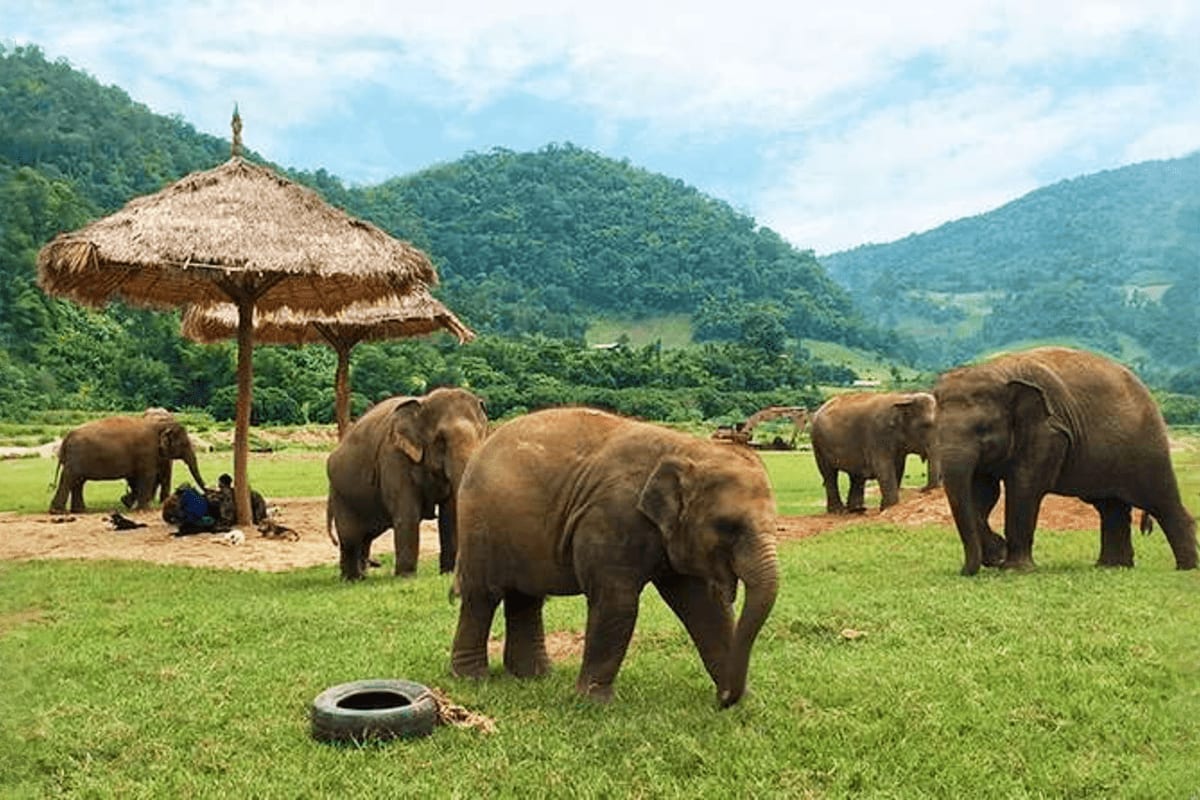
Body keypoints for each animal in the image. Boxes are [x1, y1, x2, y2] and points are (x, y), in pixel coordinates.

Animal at [50, 413, 206, 514]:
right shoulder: (146, 452)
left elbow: (135, 478)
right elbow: (147, 476)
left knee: (78, 482)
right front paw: (143, 509)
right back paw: (58, 512)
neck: (159, 425)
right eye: (184, 444)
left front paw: (128, 503)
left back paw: (79, 511)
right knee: (70, 478)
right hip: (76, 458)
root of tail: (67, 437)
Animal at [325, 387, 488, 581]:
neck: (423, 402)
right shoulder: (394, 456)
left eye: (481, 434)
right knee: (349, 537)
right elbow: (407, 512)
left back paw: (360, 576)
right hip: (340, 493)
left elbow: (450, 513)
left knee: (365, 537)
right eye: (440, 440)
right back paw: (352, 579)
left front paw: (447, 573)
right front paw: (406, 577)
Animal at [449, 407, 779, 708]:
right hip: (479, 523)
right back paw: (472, 678)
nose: (724, 699)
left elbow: (705, 608)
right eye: (727, 526)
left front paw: (744, 701)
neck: (687, 448)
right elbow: (617, 603)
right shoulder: (612, 518)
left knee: (526, 597)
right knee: (483, 596)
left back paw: (534, 676)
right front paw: (596, 703)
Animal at [810, 391, 938, 513]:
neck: (904, 398)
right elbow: (883, 467)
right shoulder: (878, 435)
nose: (923, 489)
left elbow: (898, 468)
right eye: (926, 425)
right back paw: (839, 511)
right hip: (818, 444)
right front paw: (889, 508)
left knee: (856, 476)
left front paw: (885, 508)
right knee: (830, 475)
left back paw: (857, 510)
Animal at [933, 346, 1198, 576]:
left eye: (983, 429)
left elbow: (1024, 488)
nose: (965, 571)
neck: (997, 370)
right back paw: (1112, 567)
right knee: (1111, 507)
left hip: (1147, 446)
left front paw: (1014, 569)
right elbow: (981, 494)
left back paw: (1186, 568)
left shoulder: (1047, 432)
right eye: (936, 429)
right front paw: (997, 554)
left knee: (1160, 501)